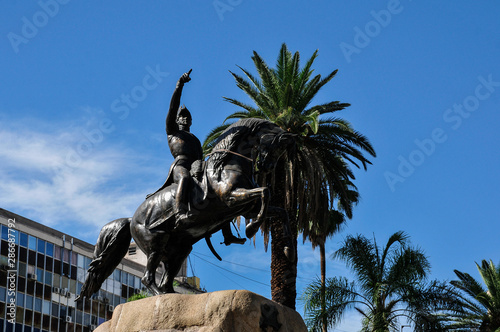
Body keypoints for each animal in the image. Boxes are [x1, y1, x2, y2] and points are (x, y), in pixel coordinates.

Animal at [76, 118, 294, 298]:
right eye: (276, 145)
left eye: (283, 149)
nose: (266, 167)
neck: (226, 165)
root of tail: (132, 219)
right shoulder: (232, 198)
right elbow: (265, 192)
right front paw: (251, 228)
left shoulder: (247, 208)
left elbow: (279, 211)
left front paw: (286, 249)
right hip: (155, 241)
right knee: (148, 277)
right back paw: (159, 295)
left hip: (180, 249)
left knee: (167, 281)